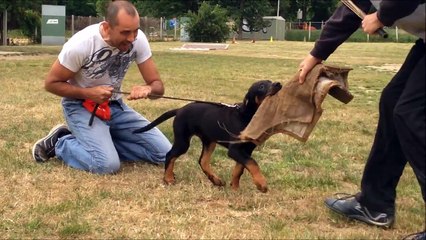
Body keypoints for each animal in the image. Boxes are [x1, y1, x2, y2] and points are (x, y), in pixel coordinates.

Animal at [132, 79, 280, 192]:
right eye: (261, 86)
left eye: (271, 81)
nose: (278, 84)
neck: (247, 116)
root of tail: (180, 110)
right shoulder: (235, 150)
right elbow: (252, 163)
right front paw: (261, 184)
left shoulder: (246, 150)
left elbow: (240, 169)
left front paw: (235, 188)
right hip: (183, 140)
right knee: (170, 155)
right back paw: (168, 179)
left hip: (209, 140)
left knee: (202, 161)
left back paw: (216, 180)